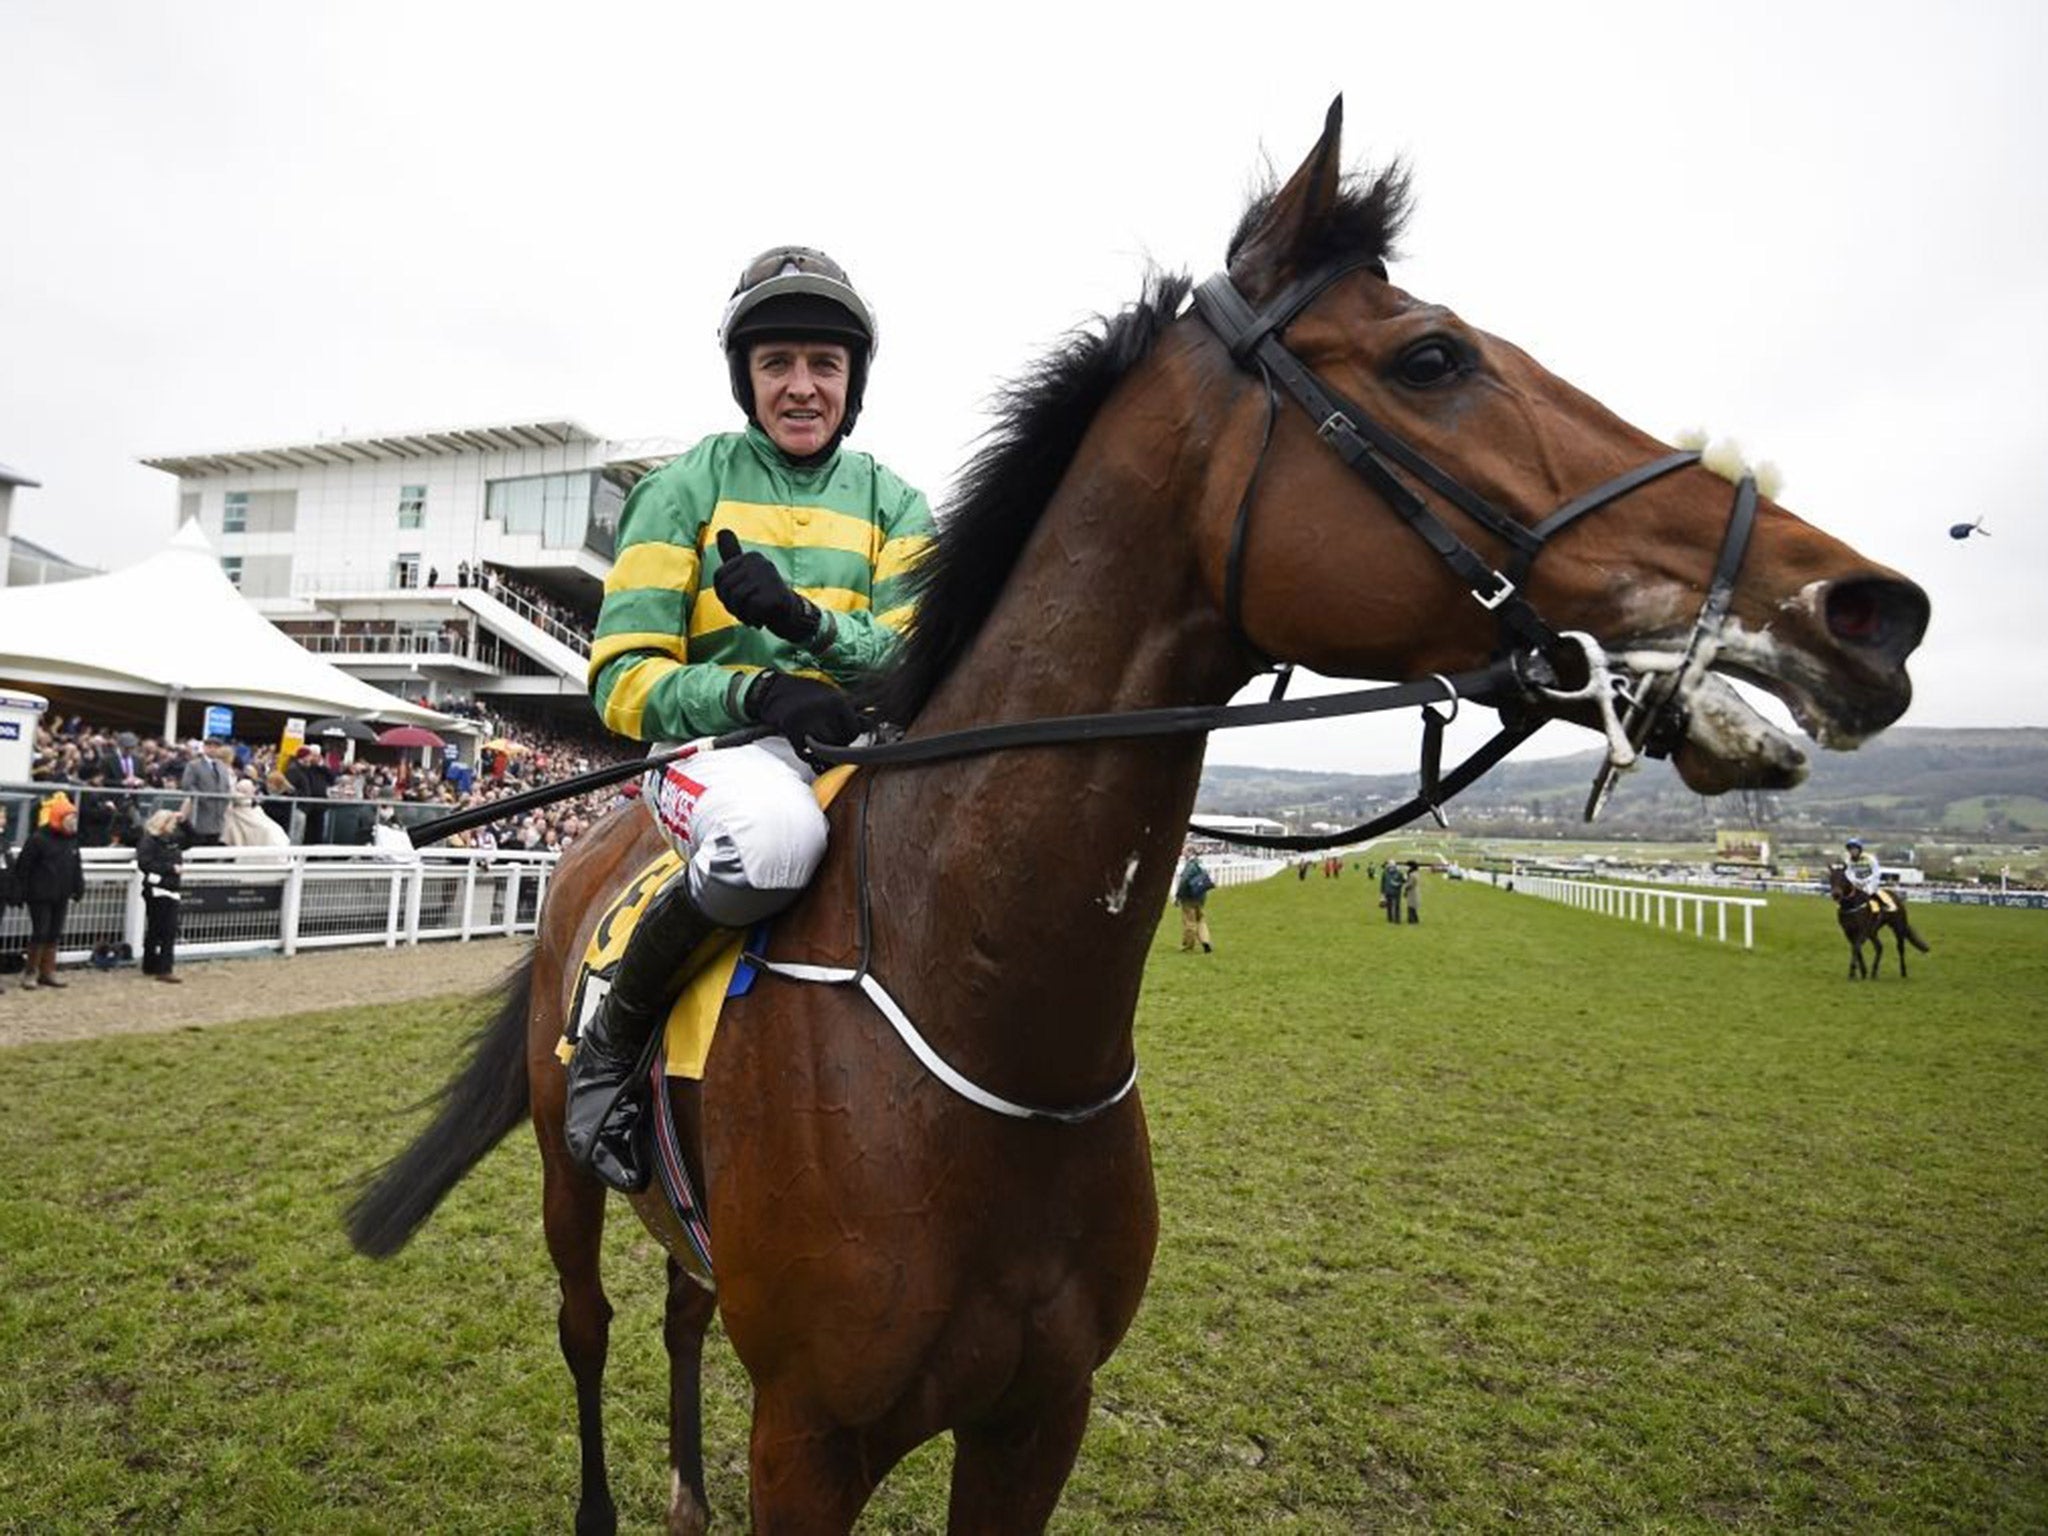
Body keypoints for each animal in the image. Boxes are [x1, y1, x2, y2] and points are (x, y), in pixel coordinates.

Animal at [344, 102, 1925, 1531]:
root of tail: (605, 841)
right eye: (1432, 358)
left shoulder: (1039, 1417)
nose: (1870, 606)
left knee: (678, 1307)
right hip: (567, 1175)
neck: (987, 1024)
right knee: (591, 1324)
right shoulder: (808, 1439)